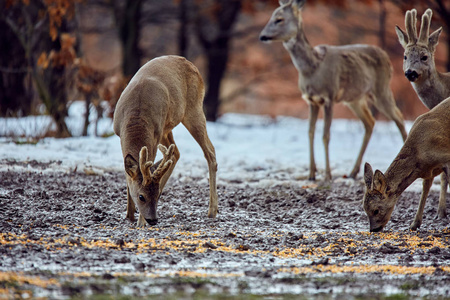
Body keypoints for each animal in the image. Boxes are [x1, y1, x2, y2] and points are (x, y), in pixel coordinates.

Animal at [112, 55, 218, 226]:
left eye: (157, 196)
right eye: (141, 196)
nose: (153, 220)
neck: (136, 116)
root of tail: (191, 64)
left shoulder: (155, 135)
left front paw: (140, 222)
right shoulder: (119, 133)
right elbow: (129, 176)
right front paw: (129, 214)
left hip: (193, 109)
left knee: (210, 151)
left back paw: (212, 211)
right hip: (167, 127)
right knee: (176, 153)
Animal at [256, 0, 408, 180]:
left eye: (279, 19)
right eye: (272, 16)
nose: (262, 36)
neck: (312, 68)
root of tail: (386, 57)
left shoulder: (329, 96)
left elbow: (326, 135)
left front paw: (327, 175)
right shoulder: (311, 100)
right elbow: (310, 132)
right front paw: (311, 174)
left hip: (381, 89)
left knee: (398, 117)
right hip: (355, 99)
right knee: (370, 122)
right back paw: (353, 172)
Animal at [362, 96, 450, 232]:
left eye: (376, 210)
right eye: (365, 209)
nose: (373, 229)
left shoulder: (446, 157)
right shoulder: (428, 171)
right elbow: (425, 189)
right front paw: (414, 224)